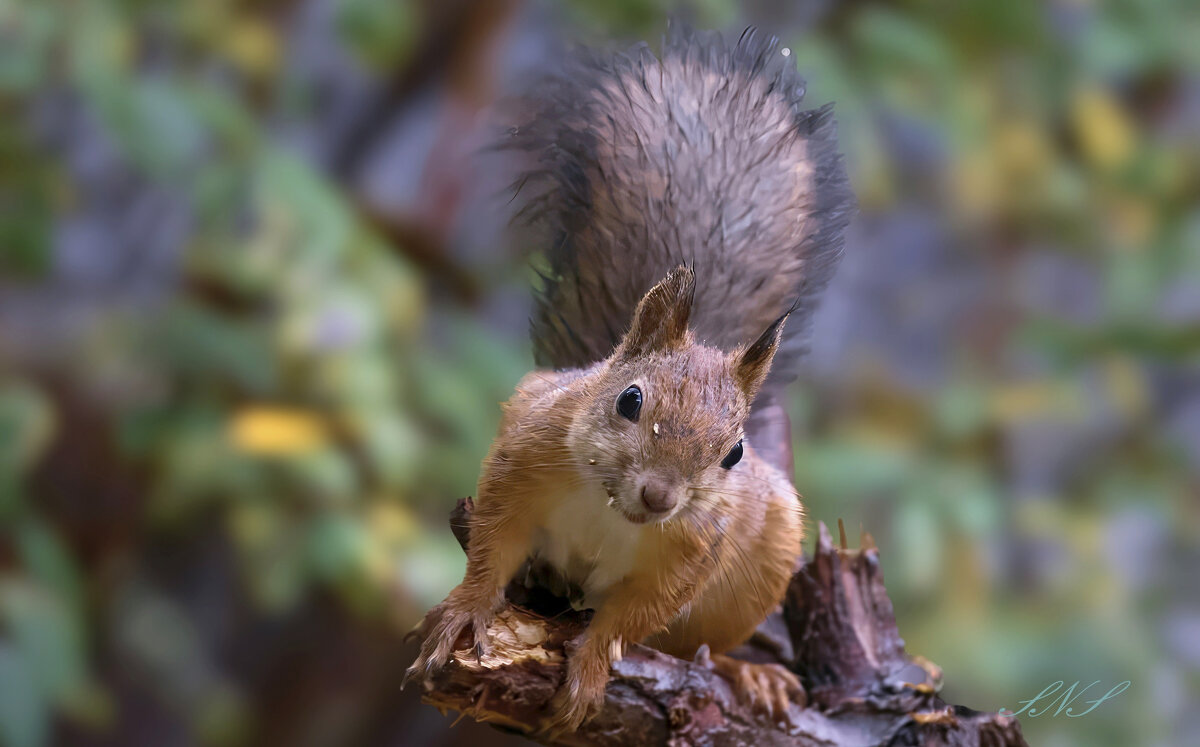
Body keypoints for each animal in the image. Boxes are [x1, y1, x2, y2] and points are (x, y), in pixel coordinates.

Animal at [405, 24, 854, 739]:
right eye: (630, 399)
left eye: (734, 453)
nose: (660, 496)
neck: (609, 505)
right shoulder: (522, 459)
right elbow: (491, 548)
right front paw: (467, 610)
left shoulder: (692, 553)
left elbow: (632, 620)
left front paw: (591, 668)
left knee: (692, 646)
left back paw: (747, 674)